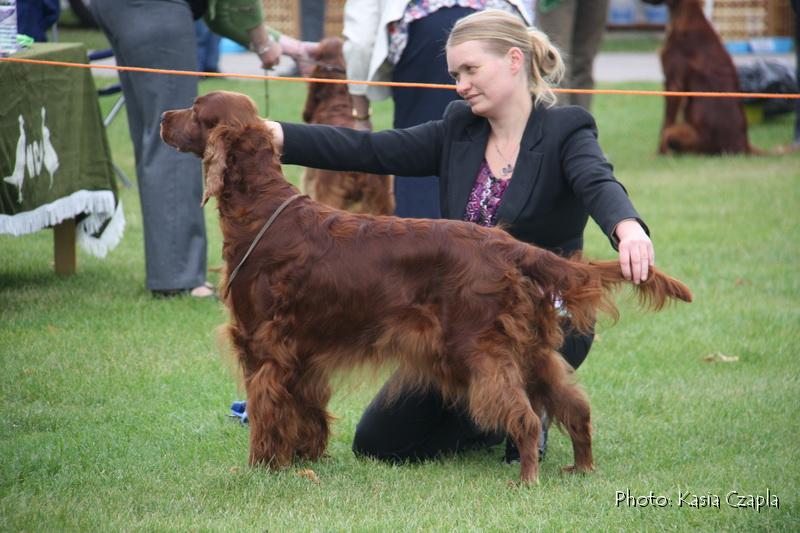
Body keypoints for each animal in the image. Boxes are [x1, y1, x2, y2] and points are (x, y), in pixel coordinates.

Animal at [161, 90, 692, 482]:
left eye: (195, 109)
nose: (164, 117)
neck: (261, 208)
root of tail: (507, 245)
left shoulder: (262, 348)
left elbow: (265, 413)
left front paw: (259, 470)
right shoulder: (303, 355)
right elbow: (304, 413)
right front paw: (306, 461)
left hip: (478, 349)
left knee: (523, 416)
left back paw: (526, 479)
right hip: (531, 349)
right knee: (573, 406)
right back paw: (580, 468)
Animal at [648, 0, 752, 154]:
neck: (686, 14)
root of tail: (744, 146)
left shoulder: (673, 83)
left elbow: (666, 123)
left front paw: (659, 153)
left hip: (683, 134)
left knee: (669, 134)